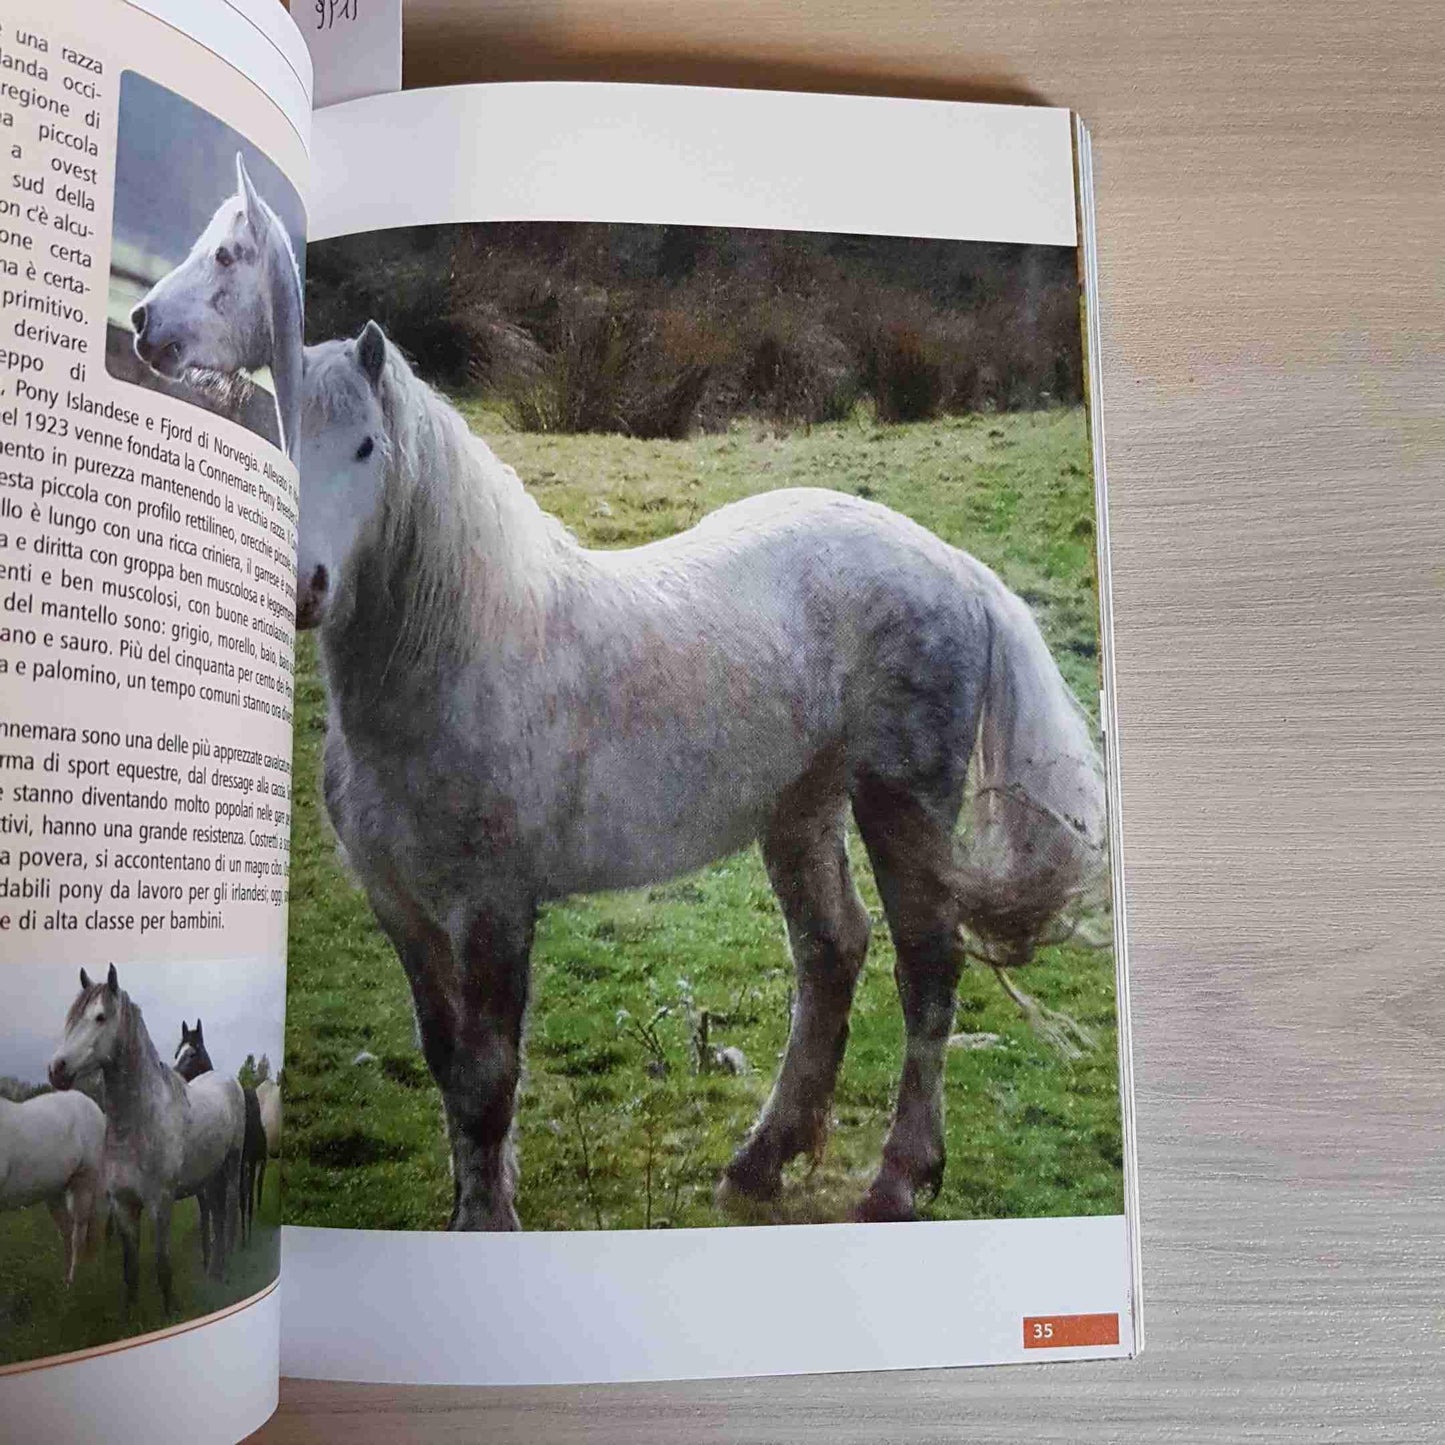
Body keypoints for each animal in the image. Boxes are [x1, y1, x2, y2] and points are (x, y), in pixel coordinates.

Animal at [0, 1088, 105, 1285]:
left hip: (85, 1183)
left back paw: (72, 1281)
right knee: (67, 1230)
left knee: (78, 1232)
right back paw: (64, 1280)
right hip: (54, 1193)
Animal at [49, 967, 245, 1311]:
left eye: (100, 1017)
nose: (56, 1069)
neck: (139, 1124)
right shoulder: (124, 1206)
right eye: (71, 1017)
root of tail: (228, 1080)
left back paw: (225, 1269)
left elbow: (162, 1266)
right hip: (210, 1176)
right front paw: (129, 1314)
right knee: (218, 1216)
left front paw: (170, 1311)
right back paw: (214, 1270)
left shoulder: (160, 1205)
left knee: (230, 1212)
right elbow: (131, 1270)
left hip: (233, 1165)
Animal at [296, 321, 1106, 1230]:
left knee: (926, 969)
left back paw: (897, 1179)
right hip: (800, 808)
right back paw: (761, 1161)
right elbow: (446, 1063)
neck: (456, 654)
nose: (305, 586)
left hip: (902, 804)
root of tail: (952, 565)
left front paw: (487, 1219)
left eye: (367, 447)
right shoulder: (399, 906)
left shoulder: (493, 907)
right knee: (831, 951)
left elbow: (487, 1073)